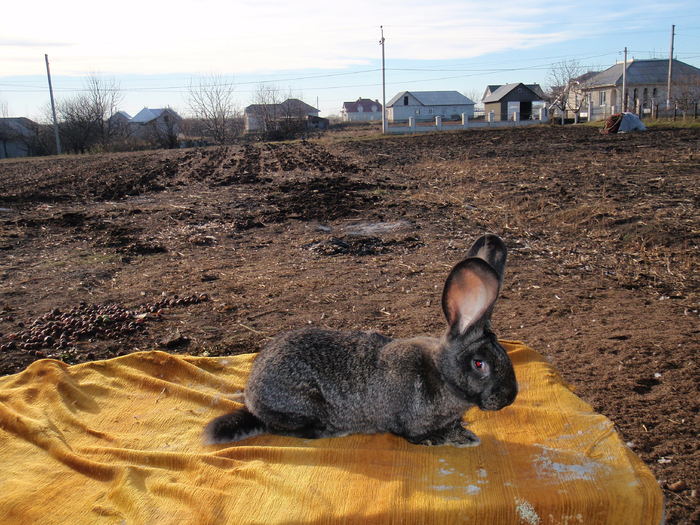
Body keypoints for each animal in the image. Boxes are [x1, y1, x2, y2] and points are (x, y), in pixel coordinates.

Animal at [205, 234, 516, 446]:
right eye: (479, 364)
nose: (509, 398)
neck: (442, 373)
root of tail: (253, 399)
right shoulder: (411, 424)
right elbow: (421, 435)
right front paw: (457, 438)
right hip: (300, 404)